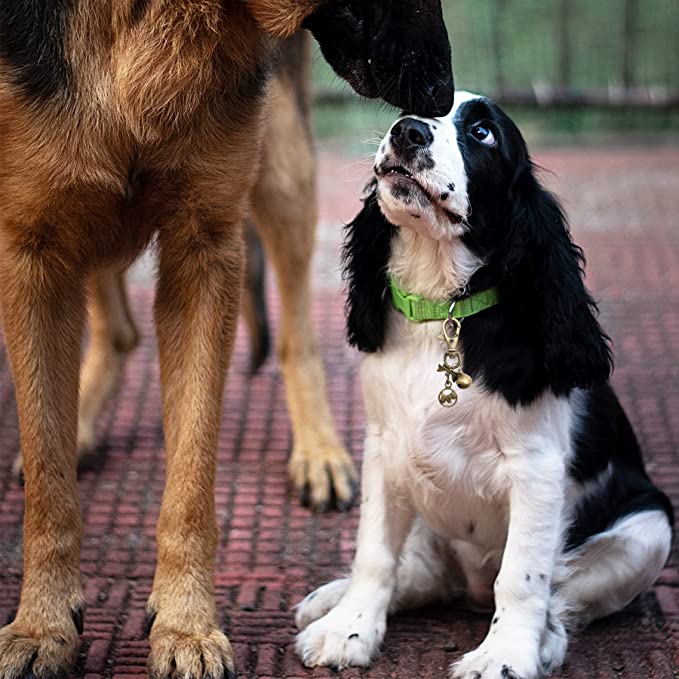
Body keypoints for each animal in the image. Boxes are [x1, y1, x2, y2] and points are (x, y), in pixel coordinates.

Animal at [0, 2, 454, 676]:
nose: (443, 98)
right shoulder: (33, 248)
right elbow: (48, 477)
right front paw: (41, 625)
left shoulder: (206, 250)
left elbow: (191, 477)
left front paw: (185, 626)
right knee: (117, 328)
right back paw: (82, 422)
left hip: (283, 168)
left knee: (296, 335)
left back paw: (318, 451)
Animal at [298, 91, 676, 679]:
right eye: (408, 109)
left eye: (482, 133)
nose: (407, 132)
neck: (442, 312)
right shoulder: (384, 449)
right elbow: (375, 553)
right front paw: (349, 628)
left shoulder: (537, 470)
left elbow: (522, 577)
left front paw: (503, 656)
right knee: (422, 574)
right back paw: (332, 599)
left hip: (649, 529)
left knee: (563, 591)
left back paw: (545, 640)